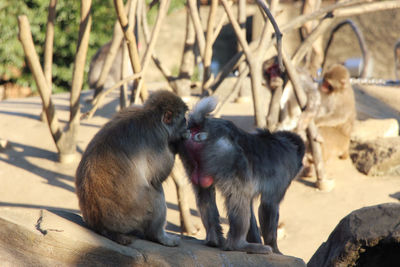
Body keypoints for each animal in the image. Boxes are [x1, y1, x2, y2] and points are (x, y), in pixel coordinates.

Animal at [76, 90, 189, 247]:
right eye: (183, 119)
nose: (187, 122)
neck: (151, 115)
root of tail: (100, 225)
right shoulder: (157, 139)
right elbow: (156, 177)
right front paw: (177, 143)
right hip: (132, 217)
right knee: (155, 191)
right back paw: (158, 236)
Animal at [177, 97, 304, 255]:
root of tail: (203, 125)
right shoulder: (283, 177)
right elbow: (268, 205)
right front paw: (275, 249)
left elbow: (251, 207)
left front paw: (256, 239)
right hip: (226, 153)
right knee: (240, 193)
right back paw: (239, 245)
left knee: (204, 194)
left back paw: (214, 240)